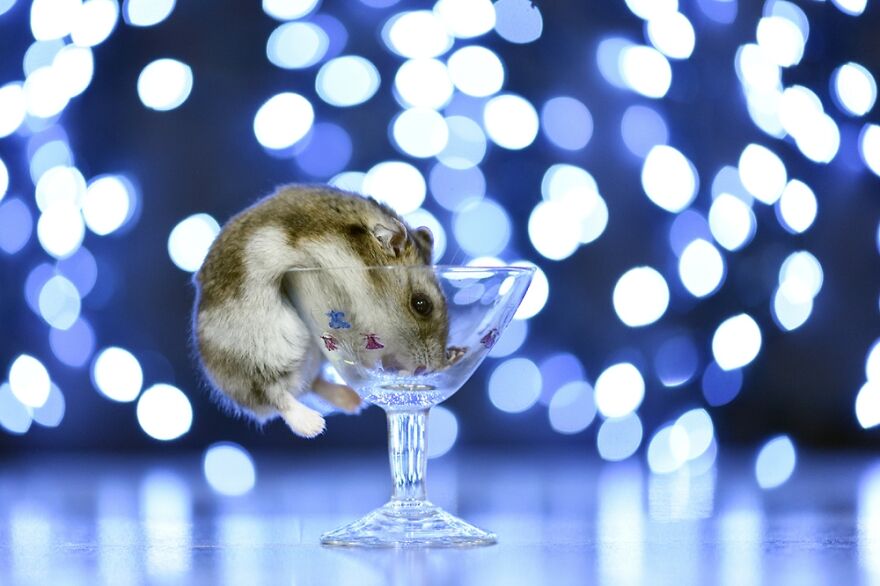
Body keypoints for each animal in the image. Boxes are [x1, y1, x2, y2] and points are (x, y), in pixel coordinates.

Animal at [193, 184, 448, 438]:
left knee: (309, 384)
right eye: (421, 304)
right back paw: (314, 424)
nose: (432, 369)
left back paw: (352, 401)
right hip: (264, 347)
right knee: (274, 392)